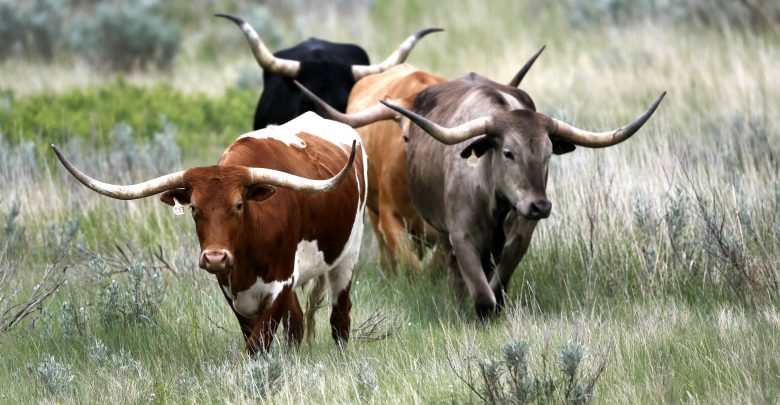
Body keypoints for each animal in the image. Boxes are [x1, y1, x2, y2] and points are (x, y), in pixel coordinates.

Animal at [52, 112, 367, 355]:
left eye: (239, 205)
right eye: (193, 208)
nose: (216, 258)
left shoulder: (280, 283)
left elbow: (257, 344)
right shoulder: (232, 290)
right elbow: (256, 339)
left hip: (348, 255)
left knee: (340, 317)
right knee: (298, 323)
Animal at [375, 74, 665, 319]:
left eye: (548, 154)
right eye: (508, 153)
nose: (540, 206)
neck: (494, 201)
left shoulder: (521, 237)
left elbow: (498, 284)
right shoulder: (461, 235)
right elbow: (483, 295)